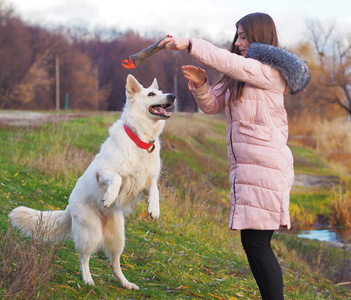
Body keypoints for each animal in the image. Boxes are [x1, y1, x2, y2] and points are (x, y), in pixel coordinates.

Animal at [8, 74, 176, 290]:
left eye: (162, 92)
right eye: (152, 94)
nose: (172, 96)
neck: (139, 140)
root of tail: (68, 207)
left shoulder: (146, 184)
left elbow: (155, 191)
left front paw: (154, 209)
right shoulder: (103, 172)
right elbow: (117, 178)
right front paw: (109, 197)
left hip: (118, 238)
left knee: (114, 263)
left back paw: (125, 283)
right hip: (91, 233)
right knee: (83, 257)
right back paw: (87, 279)